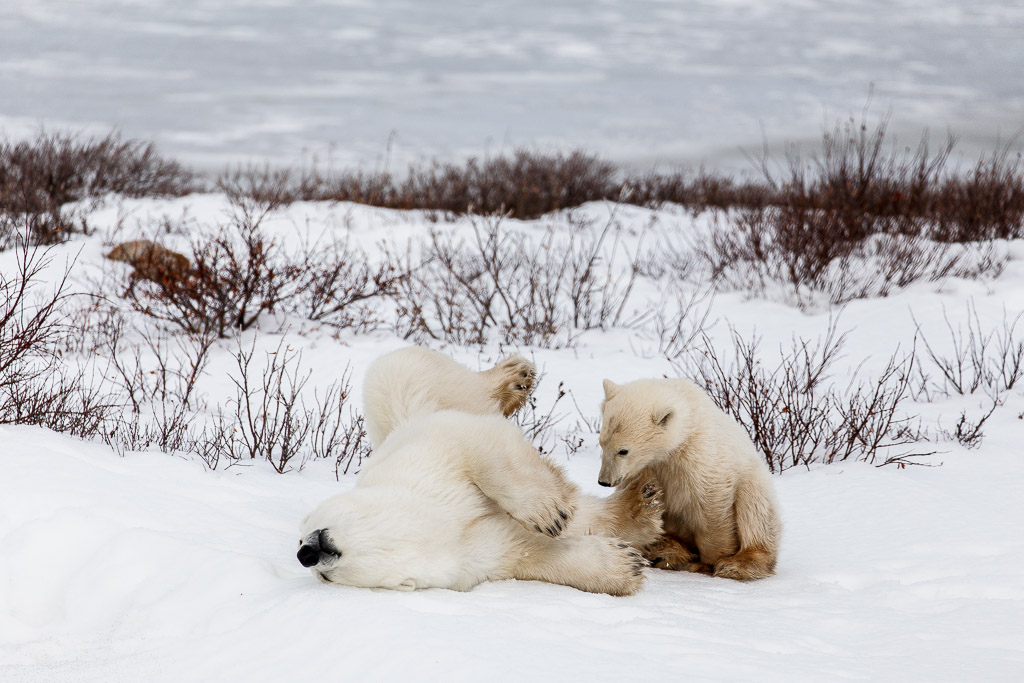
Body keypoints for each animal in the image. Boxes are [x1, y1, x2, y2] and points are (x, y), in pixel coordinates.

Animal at [296, 348, 663, 593]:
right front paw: (624, 563)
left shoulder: (424, 459)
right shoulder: (470, 558)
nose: (306, 552)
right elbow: (529, 553)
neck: (434, 518)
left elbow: (476, 445)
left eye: (305, 528)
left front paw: (548, 512)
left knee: (407, 370)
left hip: (405, 393)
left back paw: (514, 377)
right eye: (325, 577)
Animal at [598, 376, 778, 581]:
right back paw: (665, 551)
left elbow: (712, 505)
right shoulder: (643, 470)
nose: (604, 481)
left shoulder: (700, 456)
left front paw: (712, 562)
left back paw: (739, 564)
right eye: (602, 443)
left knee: (754, 511)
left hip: (754, 481)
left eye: (623, 451)